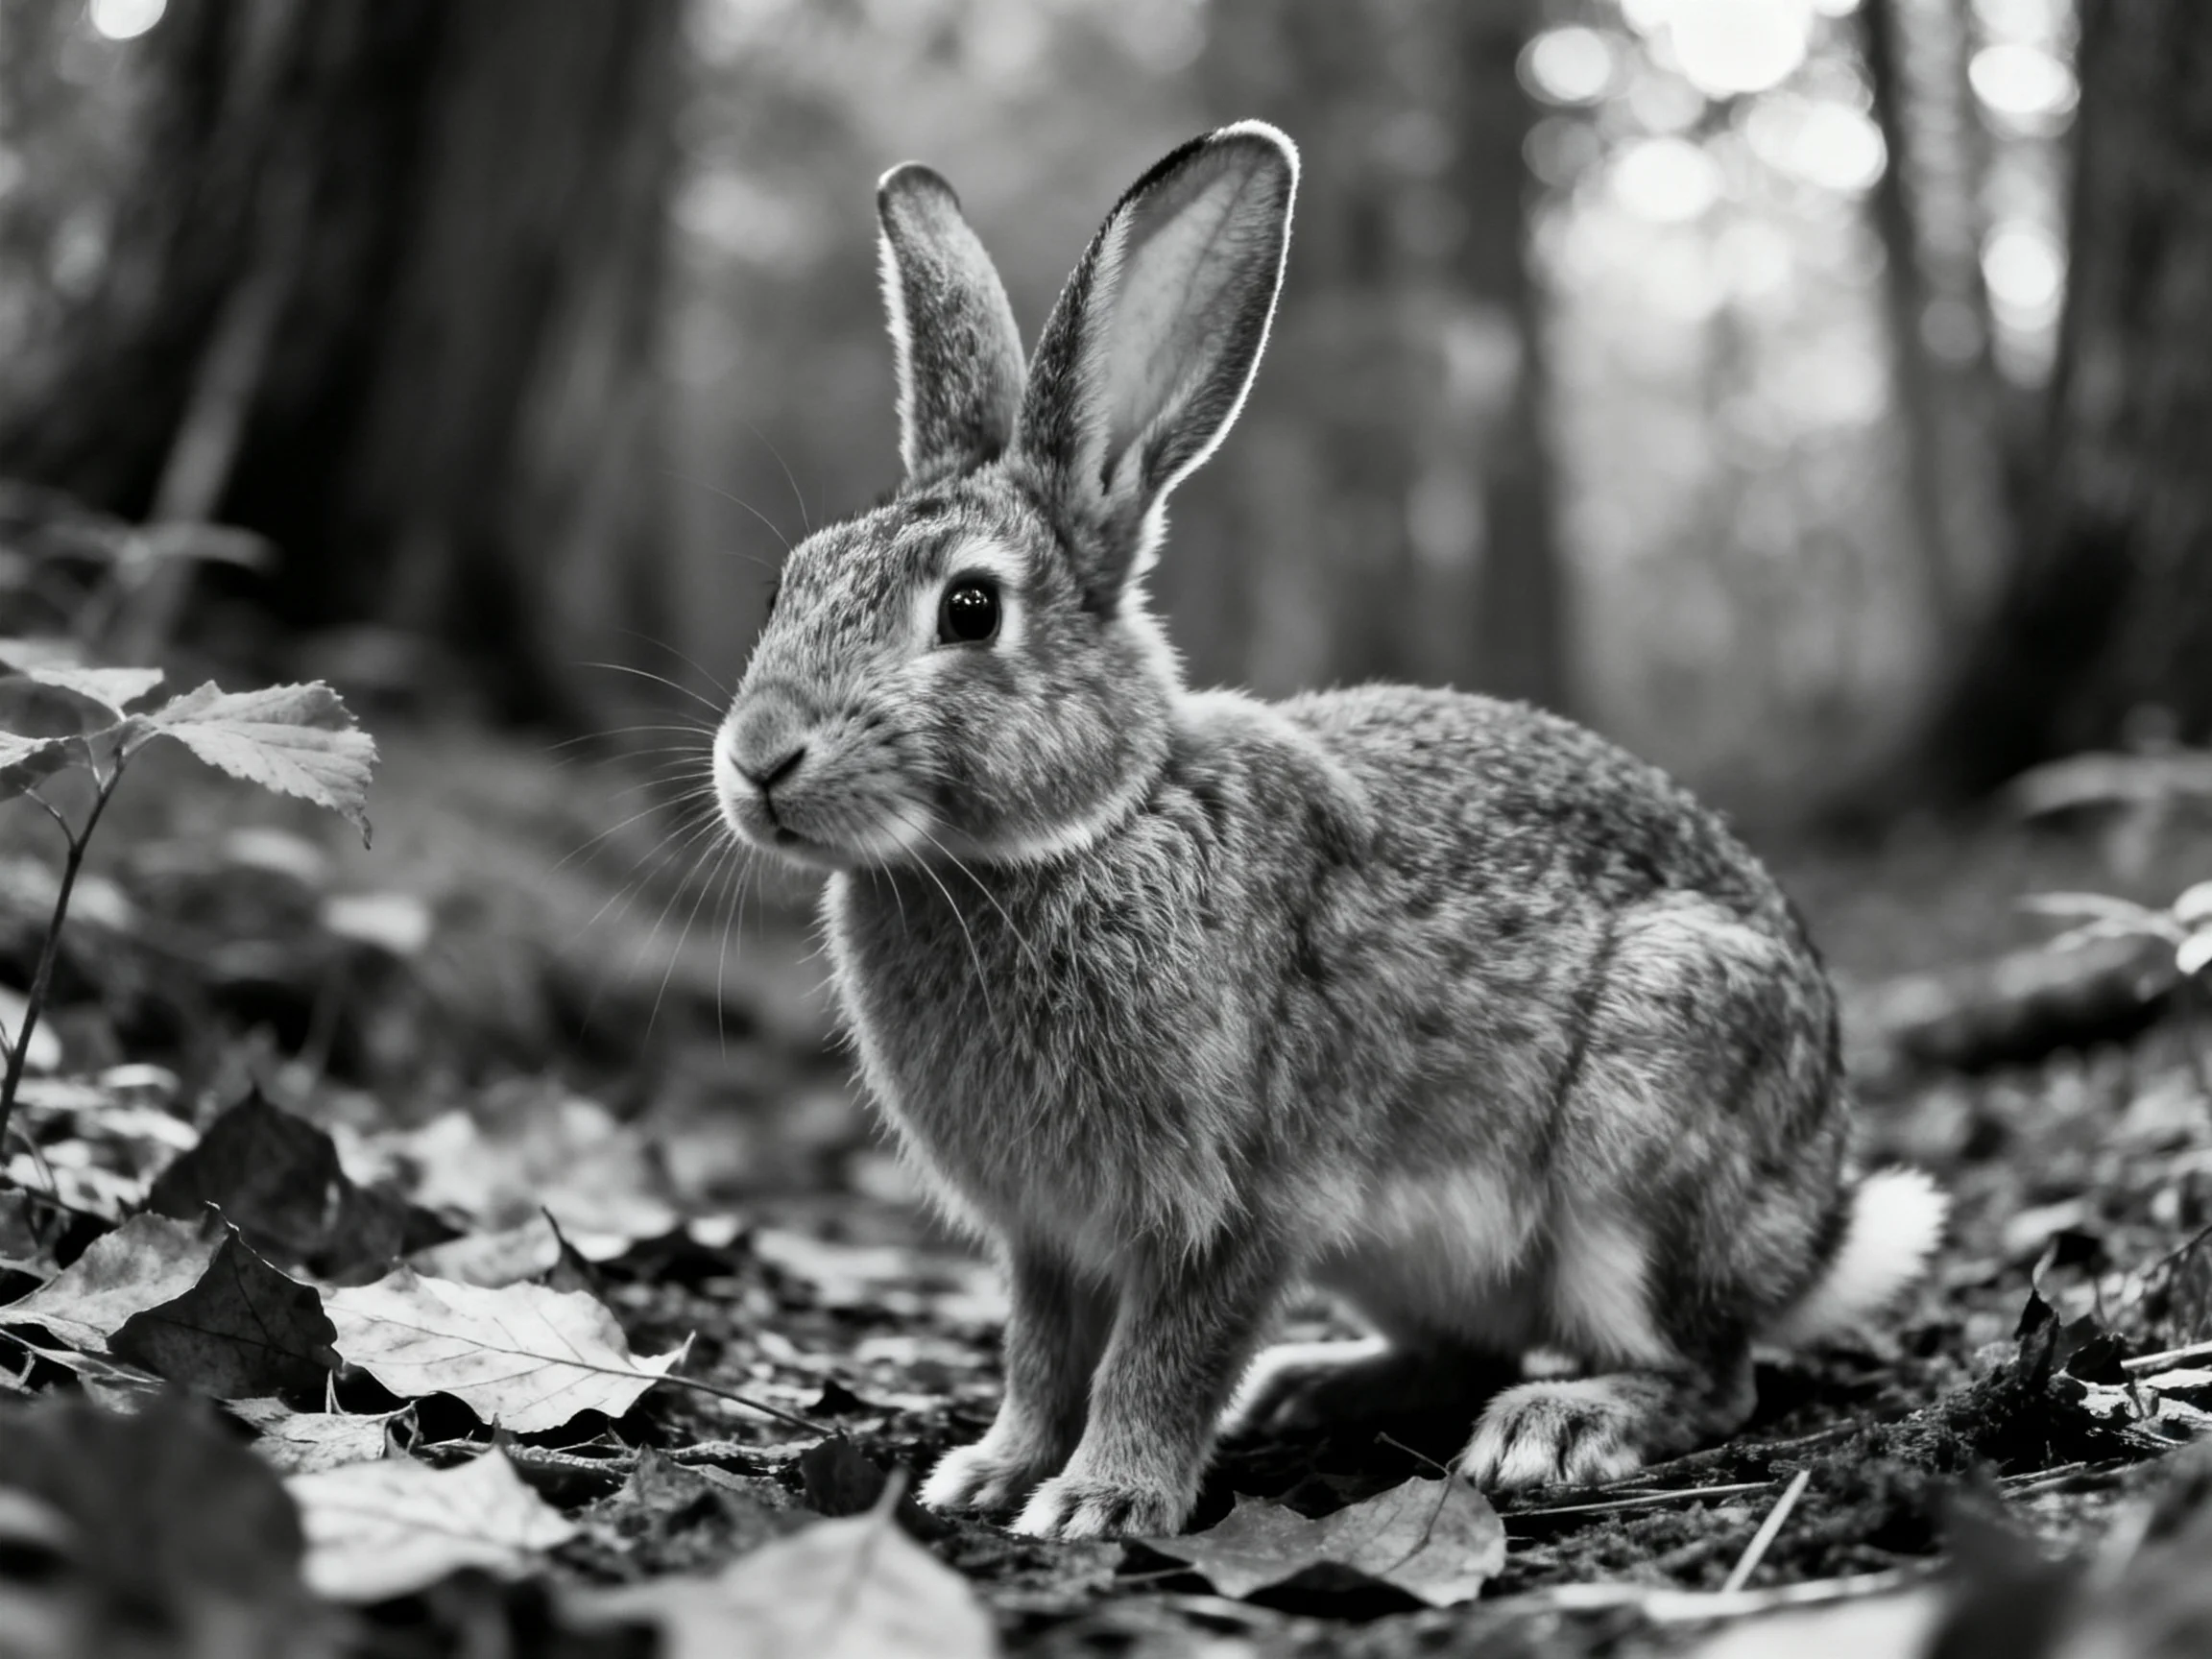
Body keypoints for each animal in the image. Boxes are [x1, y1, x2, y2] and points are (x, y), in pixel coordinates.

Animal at [709, 120, 1948, 1542]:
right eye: (789, 582)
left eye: (970, 609)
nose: (757, 759)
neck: (1085, 830)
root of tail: (1811, 1234)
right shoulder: (1047, 1237)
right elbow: (1040, 1354)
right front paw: (992, 1470)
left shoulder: (1239, 1203)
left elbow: (1159, 1358)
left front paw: (1100, 1504)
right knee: (1464, 1350)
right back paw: (1314, 1385)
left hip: (1645, 1134)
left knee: (1708, 1371)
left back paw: (1557, 1427)